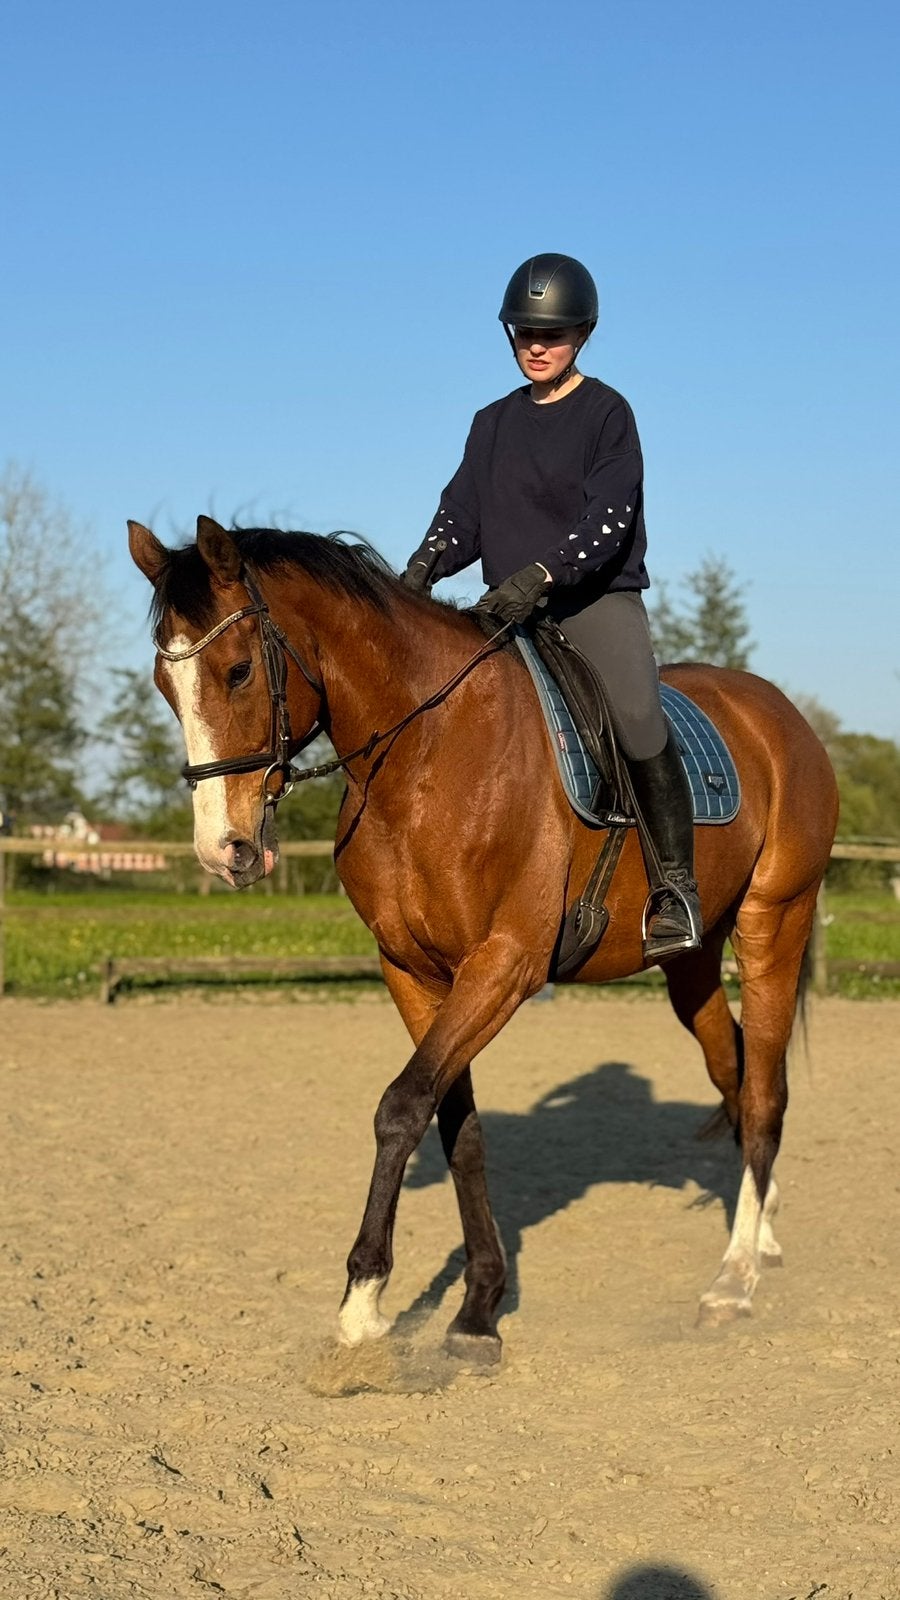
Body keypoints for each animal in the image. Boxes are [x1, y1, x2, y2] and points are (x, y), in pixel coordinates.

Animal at [129, 514, 839, 1361]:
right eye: (166, 686)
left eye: (237, 672)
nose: (224, 851)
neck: (426, 756)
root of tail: (780, 714)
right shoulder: (413, 972)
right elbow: (454, 1125)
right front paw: (477, 1308)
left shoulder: (503, 965)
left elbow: (400, 1107)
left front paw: (362, 1306)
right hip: (692, 963)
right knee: (734, 1073)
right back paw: (761, 1233)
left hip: (775, 920)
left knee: (763, 1092)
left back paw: (733, 1282)